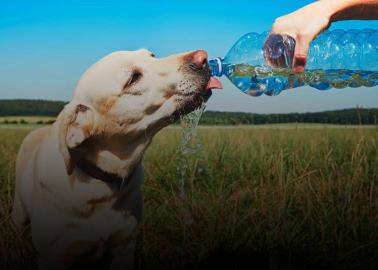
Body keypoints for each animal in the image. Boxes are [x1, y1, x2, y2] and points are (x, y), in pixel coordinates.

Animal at [11, 49, 223, 270]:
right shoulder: (54, 256)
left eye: (152, 55)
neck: (101, 187)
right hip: (18, 212)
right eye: (133, 78)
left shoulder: (124, 245)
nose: (202, 57)